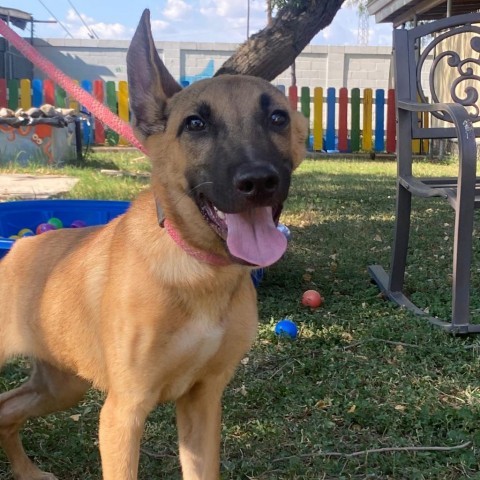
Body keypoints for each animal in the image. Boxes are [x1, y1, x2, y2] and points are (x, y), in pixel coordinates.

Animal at [0, 8, 308, 480]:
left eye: (277, 118)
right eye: (195, 124)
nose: (258, 181)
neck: (199, 268)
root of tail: (16, 250)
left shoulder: (202, 402)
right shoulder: (123, 413)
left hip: (62, 384)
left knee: (5, 410)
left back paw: (27, 471)